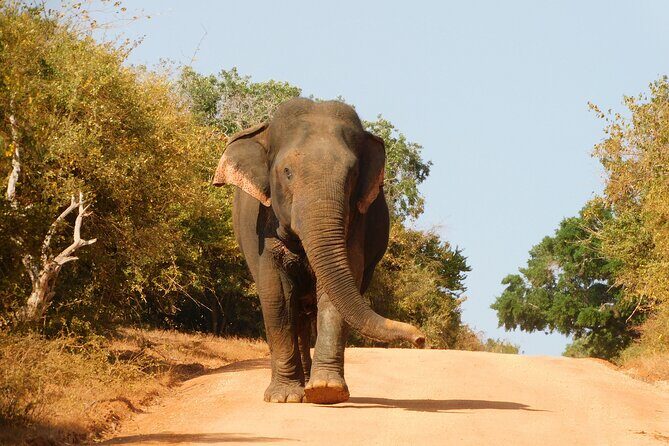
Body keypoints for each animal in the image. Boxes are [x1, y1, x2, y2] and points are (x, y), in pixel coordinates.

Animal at [212, 98, 425, 404]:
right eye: (287, 172)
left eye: (353, 174)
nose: (421, 339)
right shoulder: (261, 228)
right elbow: (276, 293)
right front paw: (282, 397)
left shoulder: (356, 224)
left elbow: (335, 292)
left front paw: (326, 390)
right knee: (296, 312)